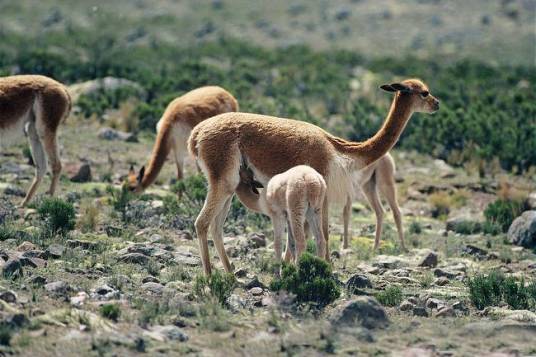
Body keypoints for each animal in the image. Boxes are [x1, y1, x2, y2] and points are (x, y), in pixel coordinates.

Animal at [0, 75, 71, 206]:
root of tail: (63, 88)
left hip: (45, 124)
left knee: (56, 165)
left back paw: (49, 200)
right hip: (33, 129)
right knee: (42, 167)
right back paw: (24, 203)